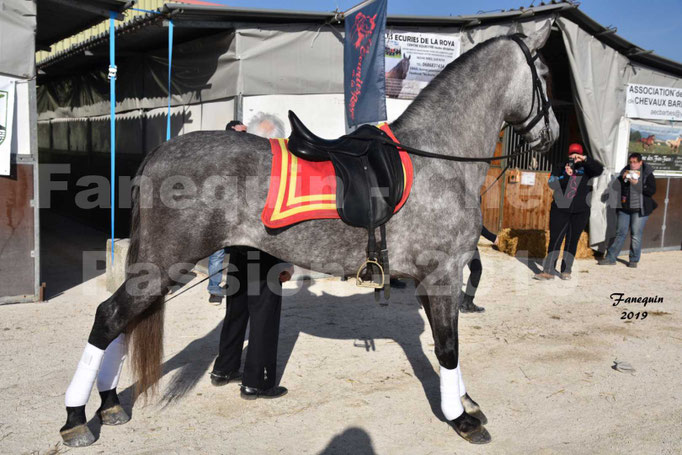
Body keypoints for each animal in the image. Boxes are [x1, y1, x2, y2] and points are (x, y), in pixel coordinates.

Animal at [60, 25, 559, 447]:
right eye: (548, 74)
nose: (552, 134)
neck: (437, 157)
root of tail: (160, 152)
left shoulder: (429, 278)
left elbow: (442, 343)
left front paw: (465, 402)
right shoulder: (442, 274)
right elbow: (449, 346)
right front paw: (462, 419)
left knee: (122, 324)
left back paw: (109, 405)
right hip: (165, 265)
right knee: (108, 317)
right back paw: (76, 420)